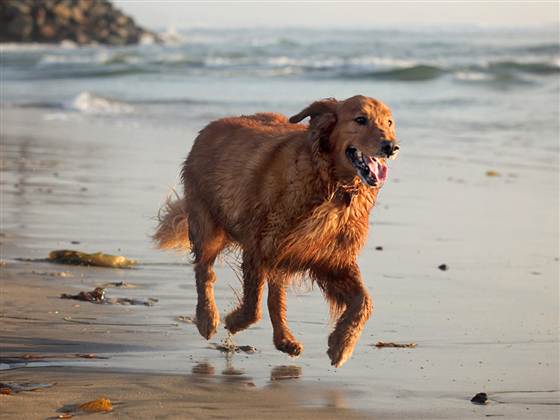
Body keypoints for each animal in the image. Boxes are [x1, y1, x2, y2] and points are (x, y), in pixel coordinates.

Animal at [153, 95, 398, 368]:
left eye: (389, 122)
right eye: (360, 119)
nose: (391, 147)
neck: (332, 186)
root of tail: (208, 127)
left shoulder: (331, 258)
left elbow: (364, 301)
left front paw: (341, 345)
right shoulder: (259, 246)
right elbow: (252, 307)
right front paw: (233, 321)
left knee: (274, 296)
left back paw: (285, 340)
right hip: (208, 225)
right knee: (204, 271)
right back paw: (207, 318)